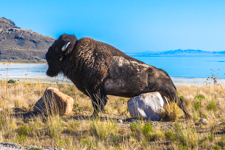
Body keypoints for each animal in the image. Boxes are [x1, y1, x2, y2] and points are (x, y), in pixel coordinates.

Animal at [46, 33, 192, 118]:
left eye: (56, 47)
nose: (46, 54)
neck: (76, 54)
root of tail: (166, 75)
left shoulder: (95, 91)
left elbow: (97, 104)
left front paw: (93, 116)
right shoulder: (96, 92)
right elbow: (99, 104)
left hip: (170, 93)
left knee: (180, 102)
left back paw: (189, 116)